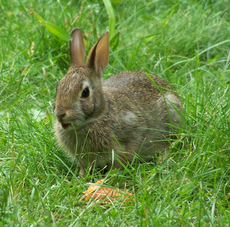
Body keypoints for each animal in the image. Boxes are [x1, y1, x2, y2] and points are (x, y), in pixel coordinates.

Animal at [53, 27, 182, 177]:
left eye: (85, 92)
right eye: (58, 87)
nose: (60, 114)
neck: (96, 118)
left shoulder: (125, 142)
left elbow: (119, 163)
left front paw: (107, 178)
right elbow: (84, 167)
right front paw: (80, 177)